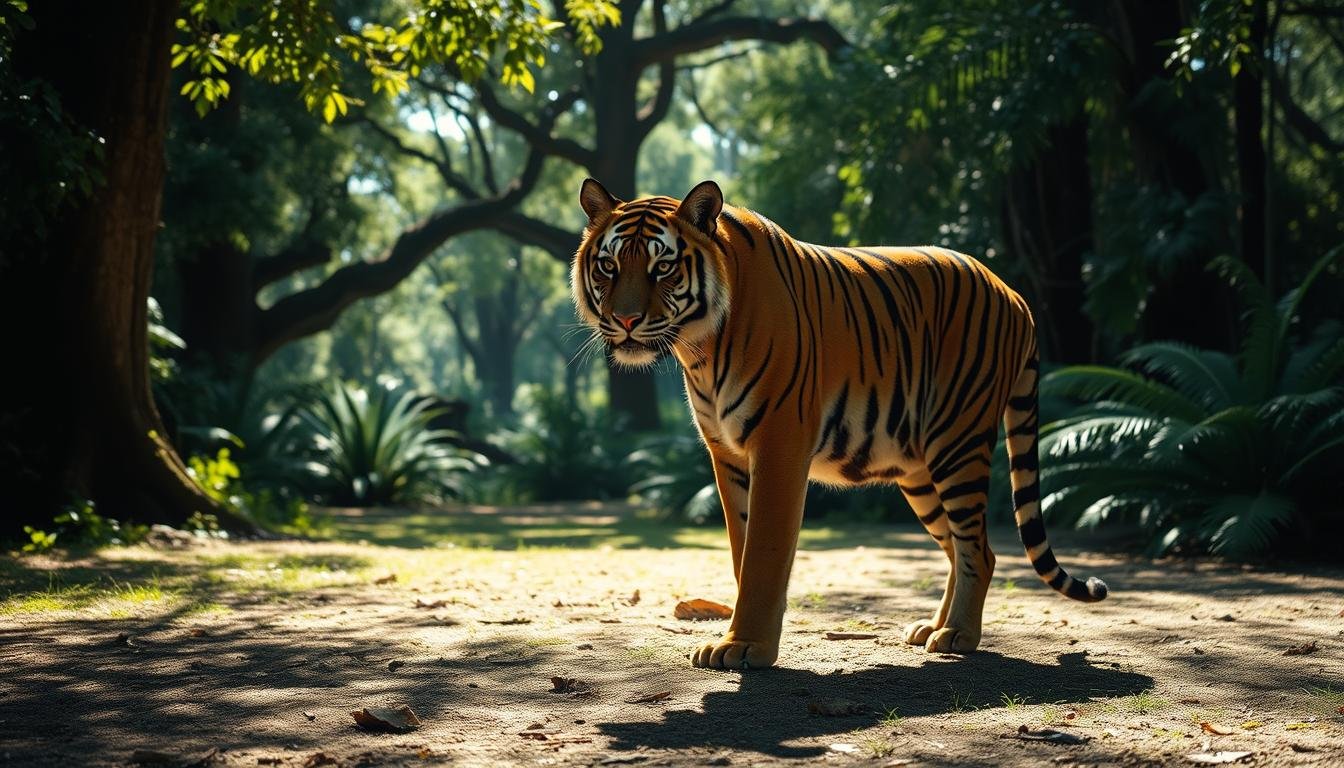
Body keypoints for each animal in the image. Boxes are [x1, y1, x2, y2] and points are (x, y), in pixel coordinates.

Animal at [570, 178, 1108, 670]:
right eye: (608, 265)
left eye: (662, 266)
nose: (626, 320)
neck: (700, 347)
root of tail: (1013, 293)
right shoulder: (727, 453)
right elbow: (741, 548)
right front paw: (738, 639)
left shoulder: (779, 444)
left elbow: (763, 553)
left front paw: (745, 648)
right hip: (919, 469)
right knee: (967, 545)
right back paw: (933, 626)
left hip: (958, 443)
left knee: (977, 545)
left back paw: (958, 635)